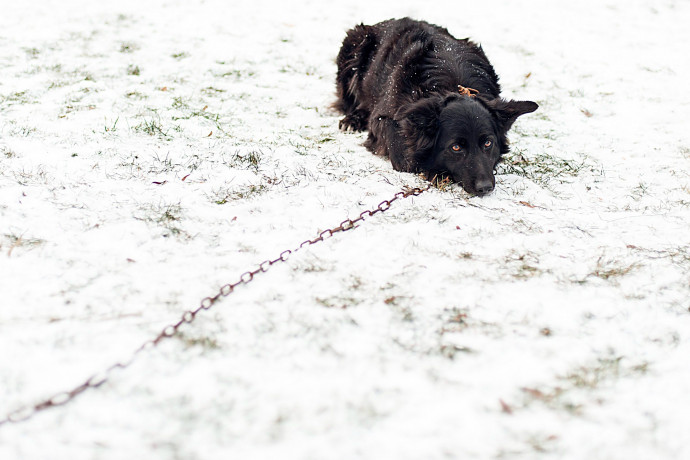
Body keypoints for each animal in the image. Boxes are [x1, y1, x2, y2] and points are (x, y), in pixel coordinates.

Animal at [334, 17, 536, 194]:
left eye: (488, 143)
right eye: (456, 148)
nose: (485, 188)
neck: (453, 85)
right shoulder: (382, 118)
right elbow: (404, 156)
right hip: (353, 47)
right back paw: (352, 120)